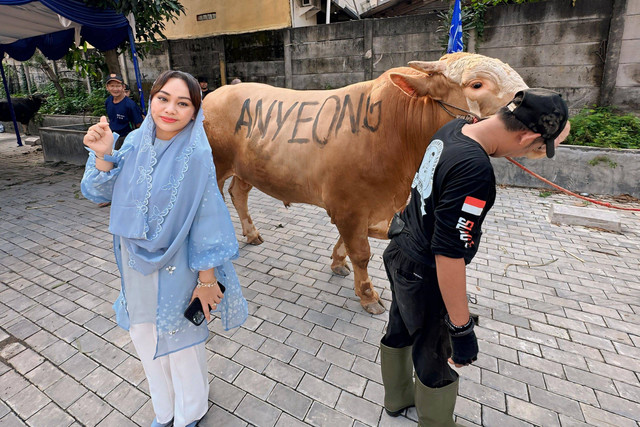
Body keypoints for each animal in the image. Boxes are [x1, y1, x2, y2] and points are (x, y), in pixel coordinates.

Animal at [202, 52, 528, 314]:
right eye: (477, 85)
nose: (538, 114)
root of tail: (214, 94)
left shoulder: (365, 208)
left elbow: (349, 244)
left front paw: (337, 262)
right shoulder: (349, 206)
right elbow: (361, 252)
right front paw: (368, 296)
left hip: (246, 169)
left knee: (238, 193)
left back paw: (252, 233)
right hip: (216, 165)